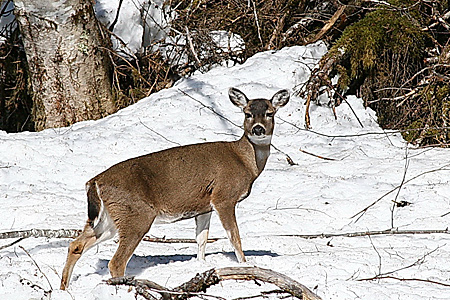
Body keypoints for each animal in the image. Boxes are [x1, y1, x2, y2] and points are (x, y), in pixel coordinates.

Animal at [59, 86, 290, 288]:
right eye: (247, 113)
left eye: (269, 113)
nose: (258, 129)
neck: (245, 161)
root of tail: (95, 181)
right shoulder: (224, 196)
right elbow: (235, 237)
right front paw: (246, 266)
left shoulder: (204, 205)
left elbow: (201, 239)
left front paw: (201, 266)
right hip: (137, 214)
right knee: (116, 262)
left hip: (110, 217)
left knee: (76, 245)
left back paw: (65, 288)